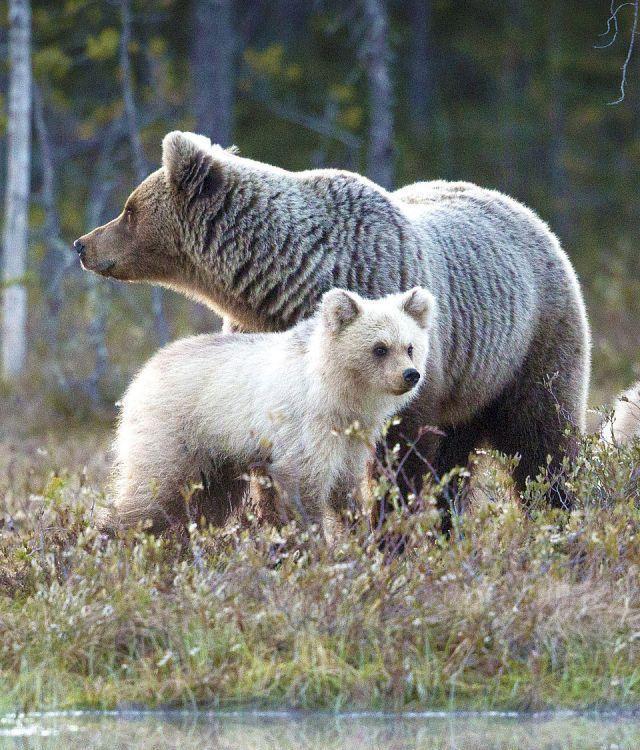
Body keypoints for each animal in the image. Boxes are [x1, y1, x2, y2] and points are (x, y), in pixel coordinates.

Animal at [77, 132, 592, 524]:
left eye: (128, 209)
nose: (83, 244)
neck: (286, 281)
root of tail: (527, 211)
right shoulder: (256, 348)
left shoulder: (400, 345)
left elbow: (398, 456)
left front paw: (387, 530)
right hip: (468, 386)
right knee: (458, 459)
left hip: (531, 343)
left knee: (543, 440)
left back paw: (557, 519)